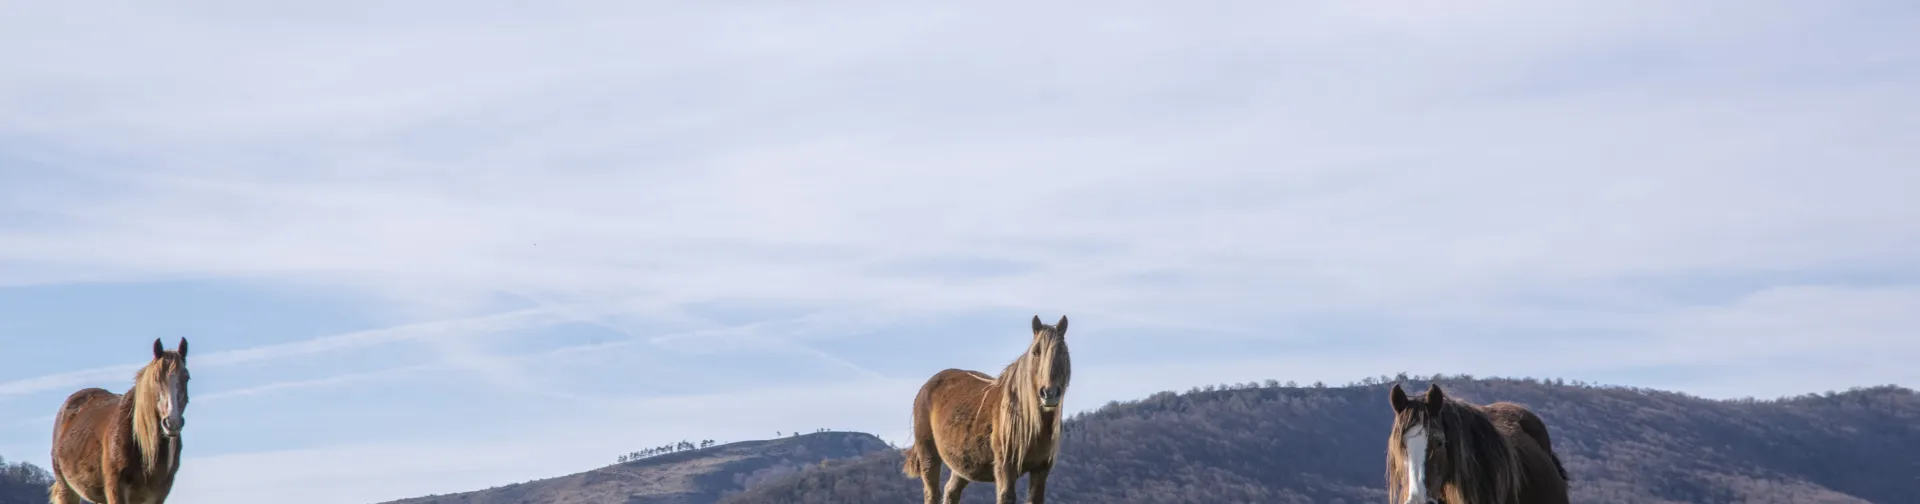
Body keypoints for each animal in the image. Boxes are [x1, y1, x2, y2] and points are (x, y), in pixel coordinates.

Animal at [49, 338, 192, 504]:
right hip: (66, 488)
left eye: (186, 378)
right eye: (156, 379)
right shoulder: (115, 488)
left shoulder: (159, 493)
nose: (172, 422)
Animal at [903, 315, 1072, 504]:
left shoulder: (1041, 470)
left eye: (1062, 352)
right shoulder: (1005, 468)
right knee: (932, 492)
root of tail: (926, 386)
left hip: (962, 465)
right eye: (1036, 352)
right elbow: (1006, 496)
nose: (1049, 393)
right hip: (928, 456)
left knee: (951, 491)